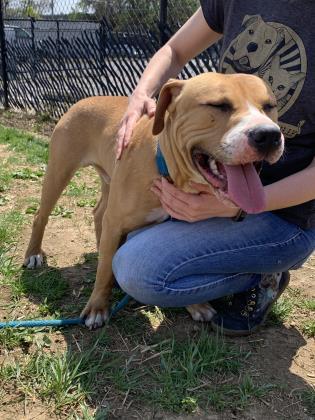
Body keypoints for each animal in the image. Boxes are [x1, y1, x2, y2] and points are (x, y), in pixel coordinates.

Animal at [23, 72, 284, 328]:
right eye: (219, 105)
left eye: (270, 106)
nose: (269, 135)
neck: (167, 169)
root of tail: (83, 99)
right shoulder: (116, 221)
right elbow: (105, 269)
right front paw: (97, 308)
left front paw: (196, 305)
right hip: (59, 171)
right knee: (41, 215)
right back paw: (33, 254)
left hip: (108, 181)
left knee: (98, 214)